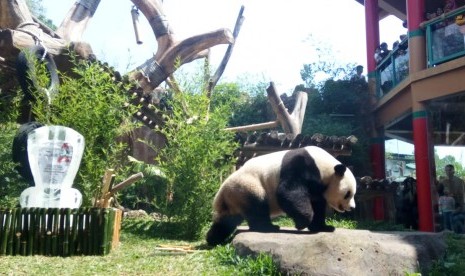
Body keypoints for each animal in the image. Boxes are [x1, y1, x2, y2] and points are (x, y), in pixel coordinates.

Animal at [206, 147, 356, 246]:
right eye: (348, 194)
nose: (352, 208)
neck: (324, 166)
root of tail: (222, 193)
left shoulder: (318, 186)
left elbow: (317, 204)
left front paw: (323, 227)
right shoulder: (301, 165)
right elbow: (287, 191)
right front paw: (301, 223)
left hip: (236, 197)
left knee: (227, 221)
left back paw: (212, 239)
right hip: (247, 186)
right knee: (258, 207)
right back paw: (268, 227)